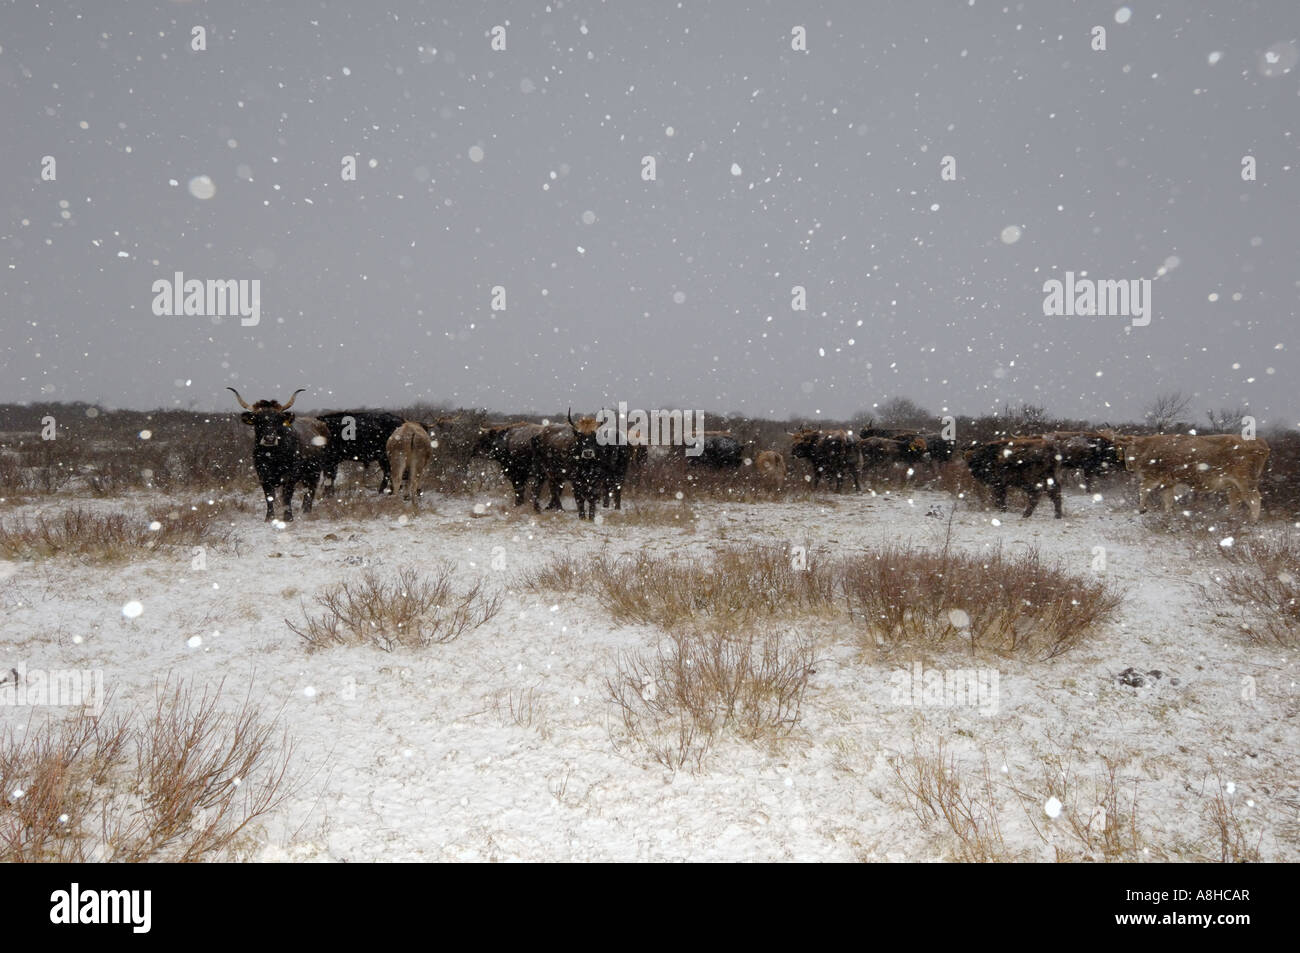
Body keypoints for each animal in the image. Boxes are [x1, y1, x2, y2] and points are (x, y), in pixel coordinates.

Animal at [226, 384, 325, 520]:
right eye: (258, 420)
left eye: (278, 420)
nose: (269, 439)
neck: (273, 456)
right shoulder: (262, 474)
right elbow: (269, 495)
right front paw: (269, 517)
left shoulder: (291, 474)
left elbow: (287, 494)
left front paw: (288, 517)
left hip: (314, 471)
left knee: (310, 489)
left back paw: (306, 511)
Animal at [1107, 434, 1268, 520]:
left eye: (1129, 448)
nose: (1128, 466)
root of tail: (1260, 443)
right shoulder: (1168, 482)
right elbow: (1168, 500)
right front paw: (1168, 515)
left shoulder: (1152, 477)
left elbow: (1143, 490)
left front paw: (1142, 509)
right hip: (1233, 485)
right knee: (1236, 501)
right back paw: (1230, 518)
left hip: (1245, 481)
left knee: (1254, 499)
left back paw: (1252, 521)